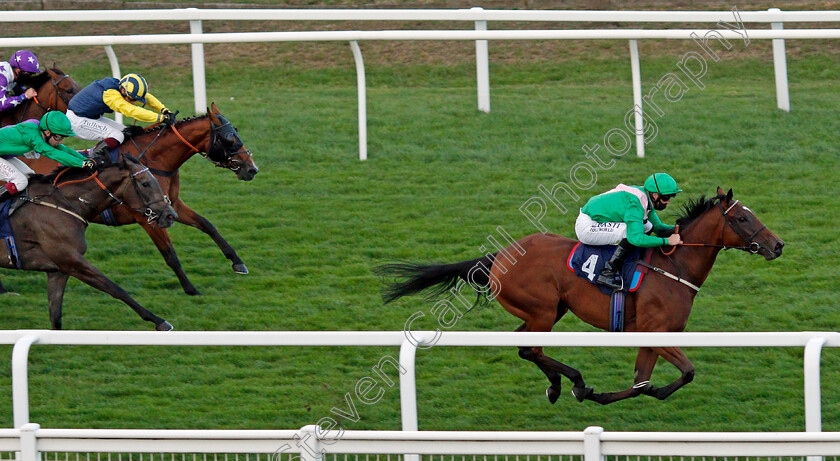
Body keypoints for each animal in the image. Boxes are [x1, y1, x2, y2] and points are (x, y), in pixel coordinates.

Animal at [4, 149, 178, 328]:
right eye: (145, 184)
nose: (171, 215)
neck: (62, 203)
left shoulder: (58, 270)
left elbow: (56, 317)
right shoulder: (71, 260)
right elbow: (115, 289)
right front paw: (159, 321)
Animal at [23, 101, 260, 294]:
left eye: (236, 132)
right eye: (229, 139)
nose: (252, 169)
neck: (154, 160)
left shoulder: (171, 205)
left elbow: (207, 225)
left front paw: (237, 262)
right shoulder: (149, 218)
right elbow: (170, 255)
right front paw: (191, 289)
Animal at [378, 187, 784, 402]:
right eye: (743, 218)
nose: (777, 245)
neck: (676, 266)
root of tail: (501, 255)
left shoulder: (651, 335)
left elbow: (643, 383)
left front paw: (606, 395)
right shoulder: (656, 330)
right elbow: (684, 373)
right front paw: (594, 392)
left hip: (547, 311)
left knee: (523, 345)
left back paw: (558, 386)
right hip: (542, 311)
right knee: (531, 348)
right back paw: (572, 381)